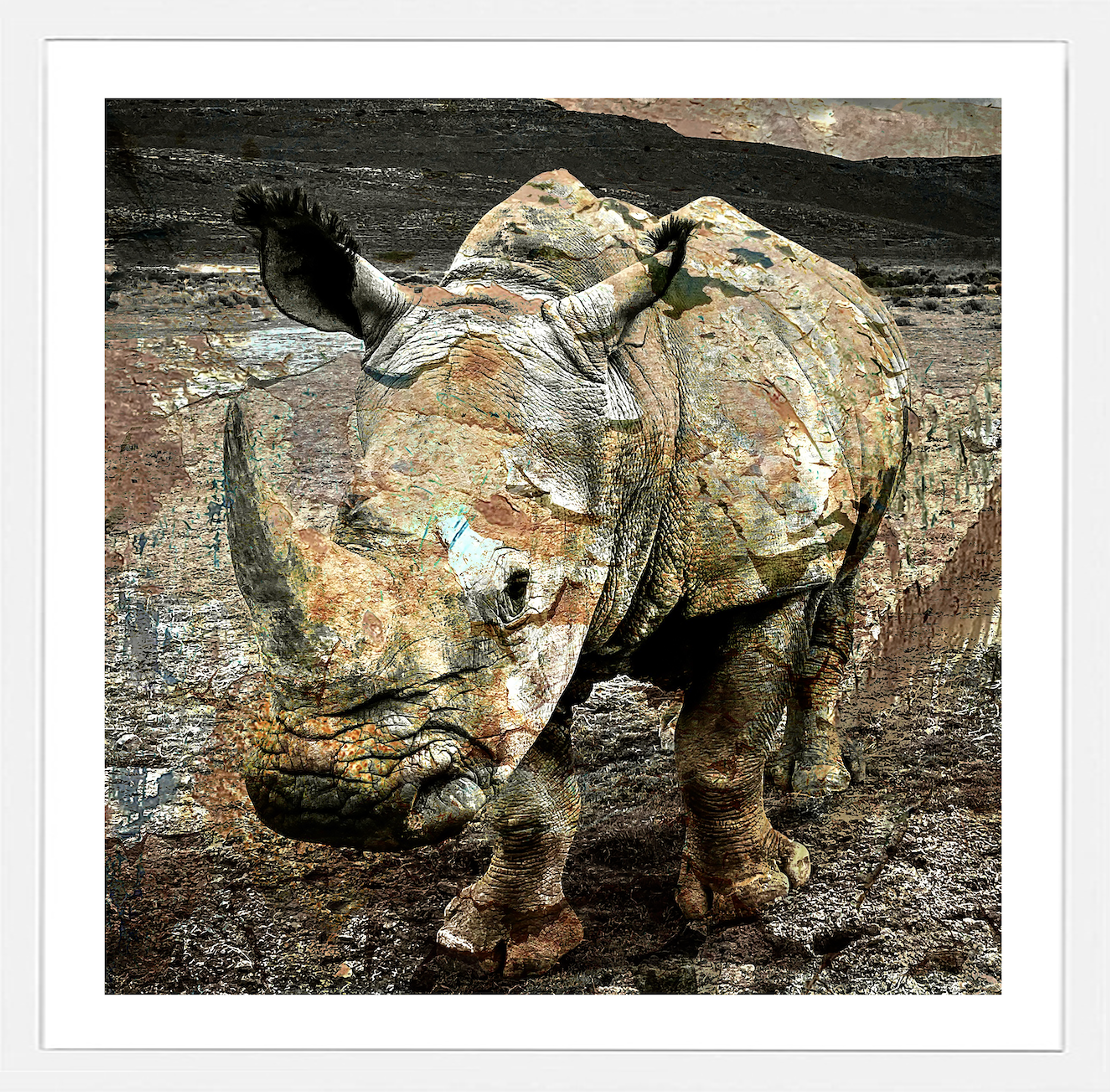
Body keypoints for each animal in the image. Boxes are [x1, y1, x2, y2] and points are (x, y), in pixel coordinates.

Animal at [224, 169, 909, 977]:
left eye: (517, 587)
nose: (320, 796)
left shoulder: (773, 561)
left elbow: (721, 748)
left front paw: (754, 899)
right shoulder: (526, 651)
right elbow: (528, 790)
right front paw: (498, 943)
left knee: (839, 591)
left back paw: (811, 789)